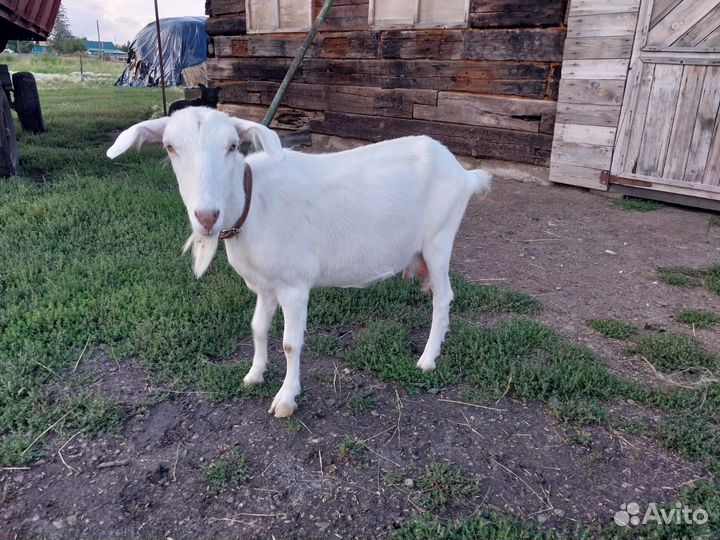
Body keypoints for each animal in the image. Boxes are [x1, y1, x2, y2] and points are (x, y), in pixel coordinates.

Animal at [107, 107, 491, 417]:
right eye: (170, 147)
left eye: (232, 146)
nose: (206, 216)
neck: (254, 204)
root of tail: (463, 173)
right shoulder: (264, 285)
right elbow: (257, 328)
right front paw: (254, 374)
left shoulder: (294, 285)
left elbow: (291, 344)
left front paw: (286, 399)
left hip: (439, 239)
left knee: (443, 298)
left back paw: (427, 359)